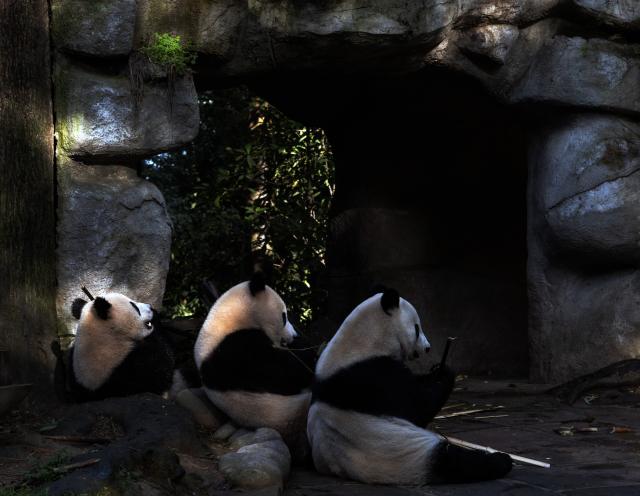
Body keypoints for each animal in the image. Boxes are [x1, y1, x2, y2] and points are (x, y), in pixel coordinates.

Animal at [307, 288, 513, 485]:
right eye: (416, 328)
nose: (428, 347)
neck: (362, 341)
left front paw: (434, 370)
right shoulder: (375, 375)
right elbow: (418, 406)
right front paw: (443, 373)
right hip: (408, 454)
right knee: (455, 461)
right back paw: (501, 460)